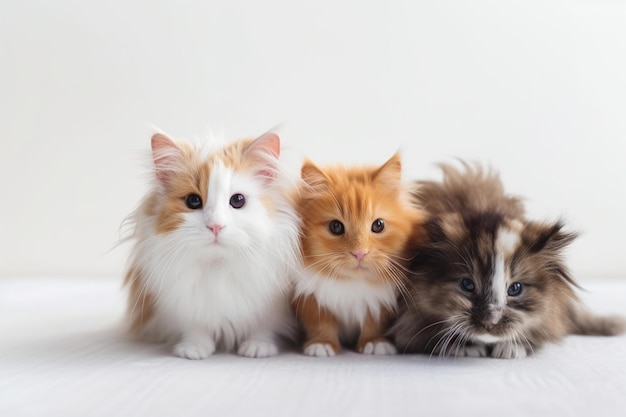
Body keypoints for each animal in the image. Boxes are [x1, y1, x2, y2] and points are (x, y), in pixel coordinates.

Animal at [122, 131, 300, 358]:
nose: (215, 226)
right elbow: (196, 328)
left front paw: (257, 348)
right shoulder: (183, 305)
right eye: (193, 201)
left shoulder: (271, 307)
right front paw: (193, 350)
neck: (217, 264)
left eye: (238, 200)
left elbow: (263, 328)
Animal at [292, 154, 424, 356]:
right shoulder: (310, 299)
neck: (350, 284)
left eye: (378, 225)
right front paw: (322, 344)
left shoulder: (380, 302)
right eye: (336, 227)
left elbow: (374, 323)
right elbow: (321, 323)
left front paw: (375, 342)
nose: (359, 253)